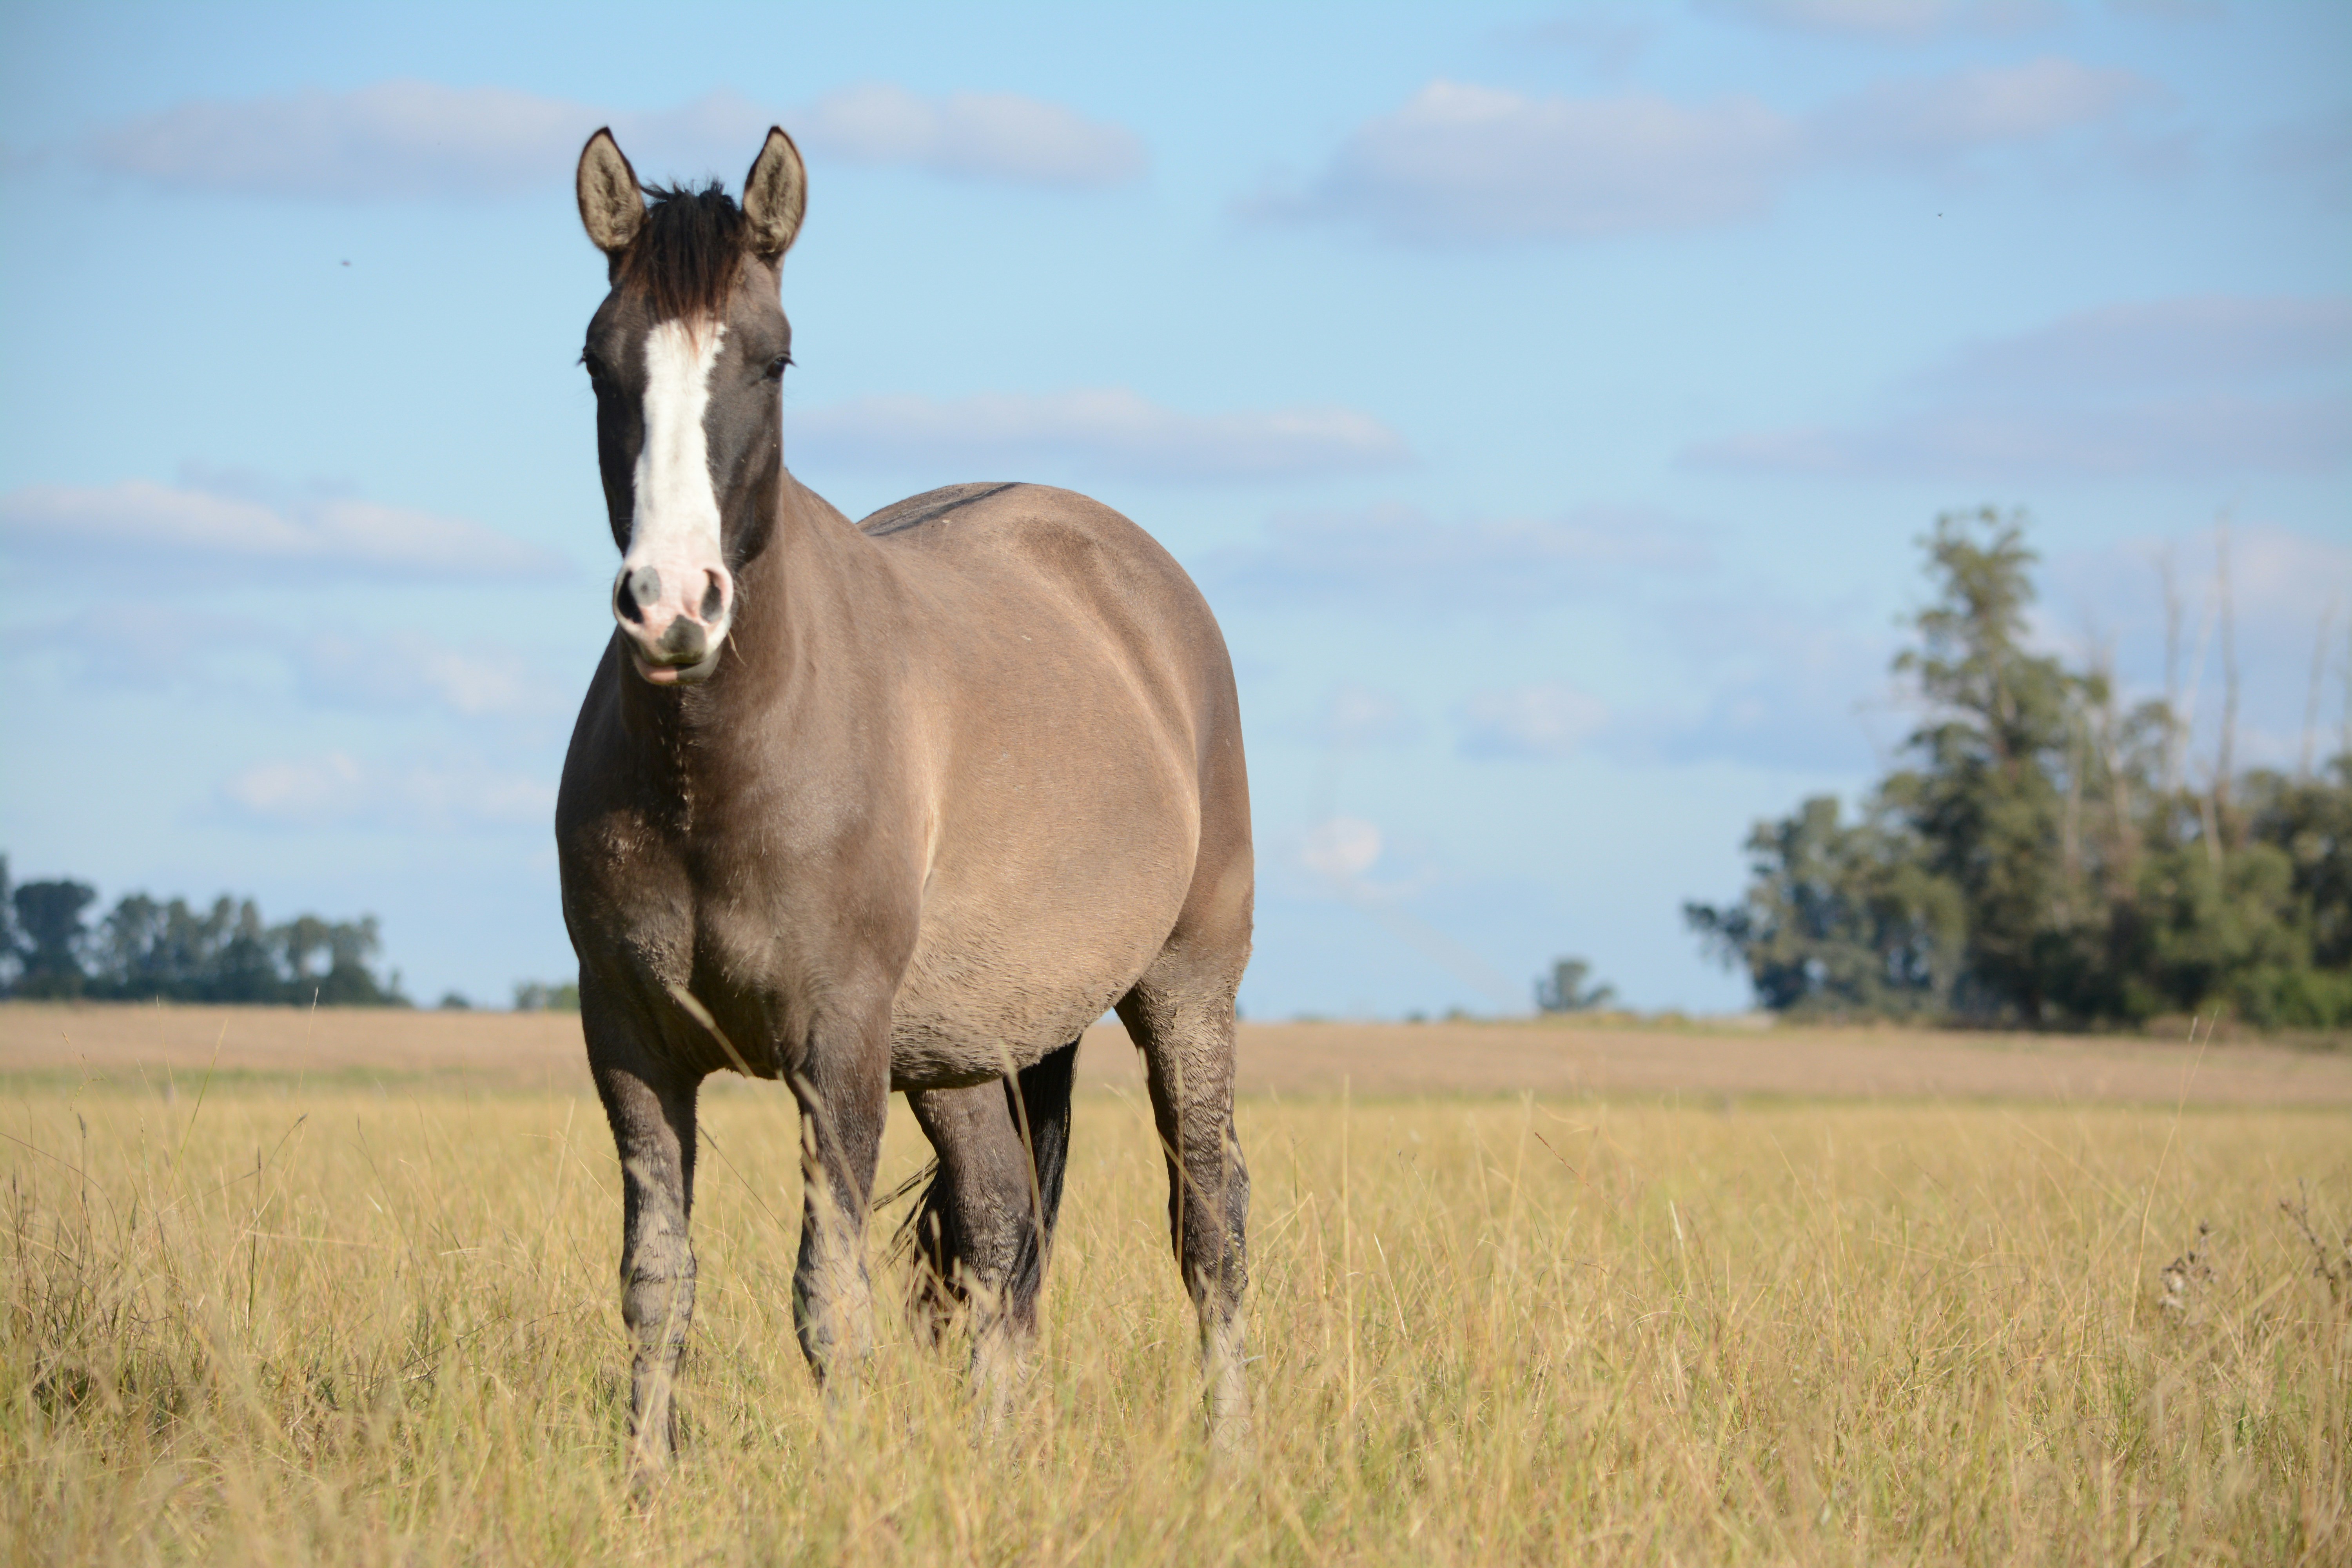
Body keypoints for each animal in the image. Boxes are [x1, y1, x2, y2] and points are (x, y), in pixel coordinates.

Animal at [554, 125, 1254, 1467]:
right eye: (599, 360)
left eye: (771, 358)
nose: (672, 606)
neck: (719, 764)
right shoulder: (629, 1043)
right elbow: (655, 1284)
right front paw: (641, 1483)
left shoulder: (838, 1049)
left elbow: (828, 1301)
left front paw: (838, 1484)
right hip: (964, 1057)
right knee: (1002, 1237)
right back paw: (999, 1461)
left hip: (1185, 996)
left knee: (1209, 1228)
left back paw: (1226, 1457)